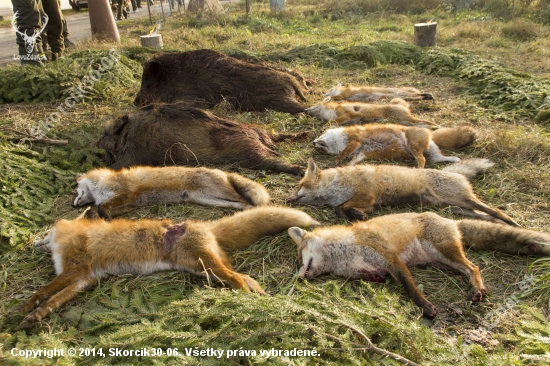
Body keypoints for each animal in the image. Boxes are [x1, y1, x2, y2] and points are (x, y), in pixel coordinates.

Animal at [17, 206, 320, 328]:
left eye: (46, 231)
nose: (31, 242)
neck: (71, 236)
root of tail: (203, 225)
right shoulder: (85, 279)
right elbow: (53, 300)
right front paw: (35, 316)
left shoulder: (76, 269)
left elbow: (45, 290)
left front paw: (27, 306)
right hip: (204, 269)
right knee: (244, 277)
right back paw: (258, 295)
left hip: (206, 267)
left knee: (238, 280)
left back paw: (244, 302)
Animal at [73, 167, 272, 220]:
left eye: (76, 190)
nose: (72, 205)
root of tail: (223, 171)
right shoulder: (129, 204)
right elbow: (100, 208)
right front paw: (99, 216)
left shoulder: (126, 193)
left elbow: (101, 206)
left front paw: (103, 216)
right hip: (209, 199)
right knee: (242, 204)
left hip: (218, 193)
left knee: (245, 199)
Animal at [288, 212, 550, 318]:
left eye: (300, 258)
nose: (300, 277)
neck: (344, 254)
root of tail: (450, 220)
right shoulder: (366, 270)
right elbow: (374, 276)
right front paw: (377, 279)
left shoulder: (391, 259)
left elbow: (410, 288)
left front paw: (426, 308)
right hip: (441, 262)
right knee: (466, 269)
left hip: (445, 252)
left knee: (474, 267)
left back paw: (476, 288)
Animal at [314, 124, 478, 167]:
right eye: (321, 149)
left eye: (321, 139)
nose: (314, 143)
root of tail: (430, 133)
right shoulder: (362, 152)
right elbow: (353, 160)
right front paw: (347, 166)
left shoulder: (356, 141)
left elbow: (344, 153)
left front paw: (337, 161)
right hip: (433, 156)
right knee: (439, 158)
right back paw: (455, 159)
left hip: (413, 147)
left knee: (422, 160)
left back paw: (417, 169)